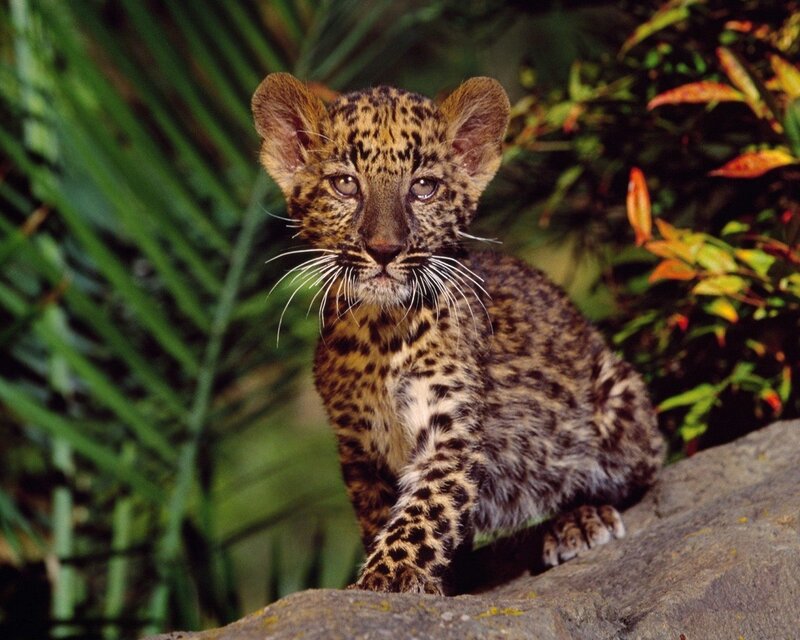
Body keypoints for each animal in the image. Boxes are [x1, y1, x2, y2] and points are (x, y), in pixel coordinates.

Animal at [251, 72, 665, 595]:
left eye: (423, 188)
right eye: (345, 184)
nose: (384, 249)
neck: (378, 332)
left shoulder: (450, 431)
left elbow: (423, 512)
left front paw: (387, 578)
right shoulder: (360, 448)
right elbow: (385, 516)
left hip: (616, 403)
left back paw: (579, 520)